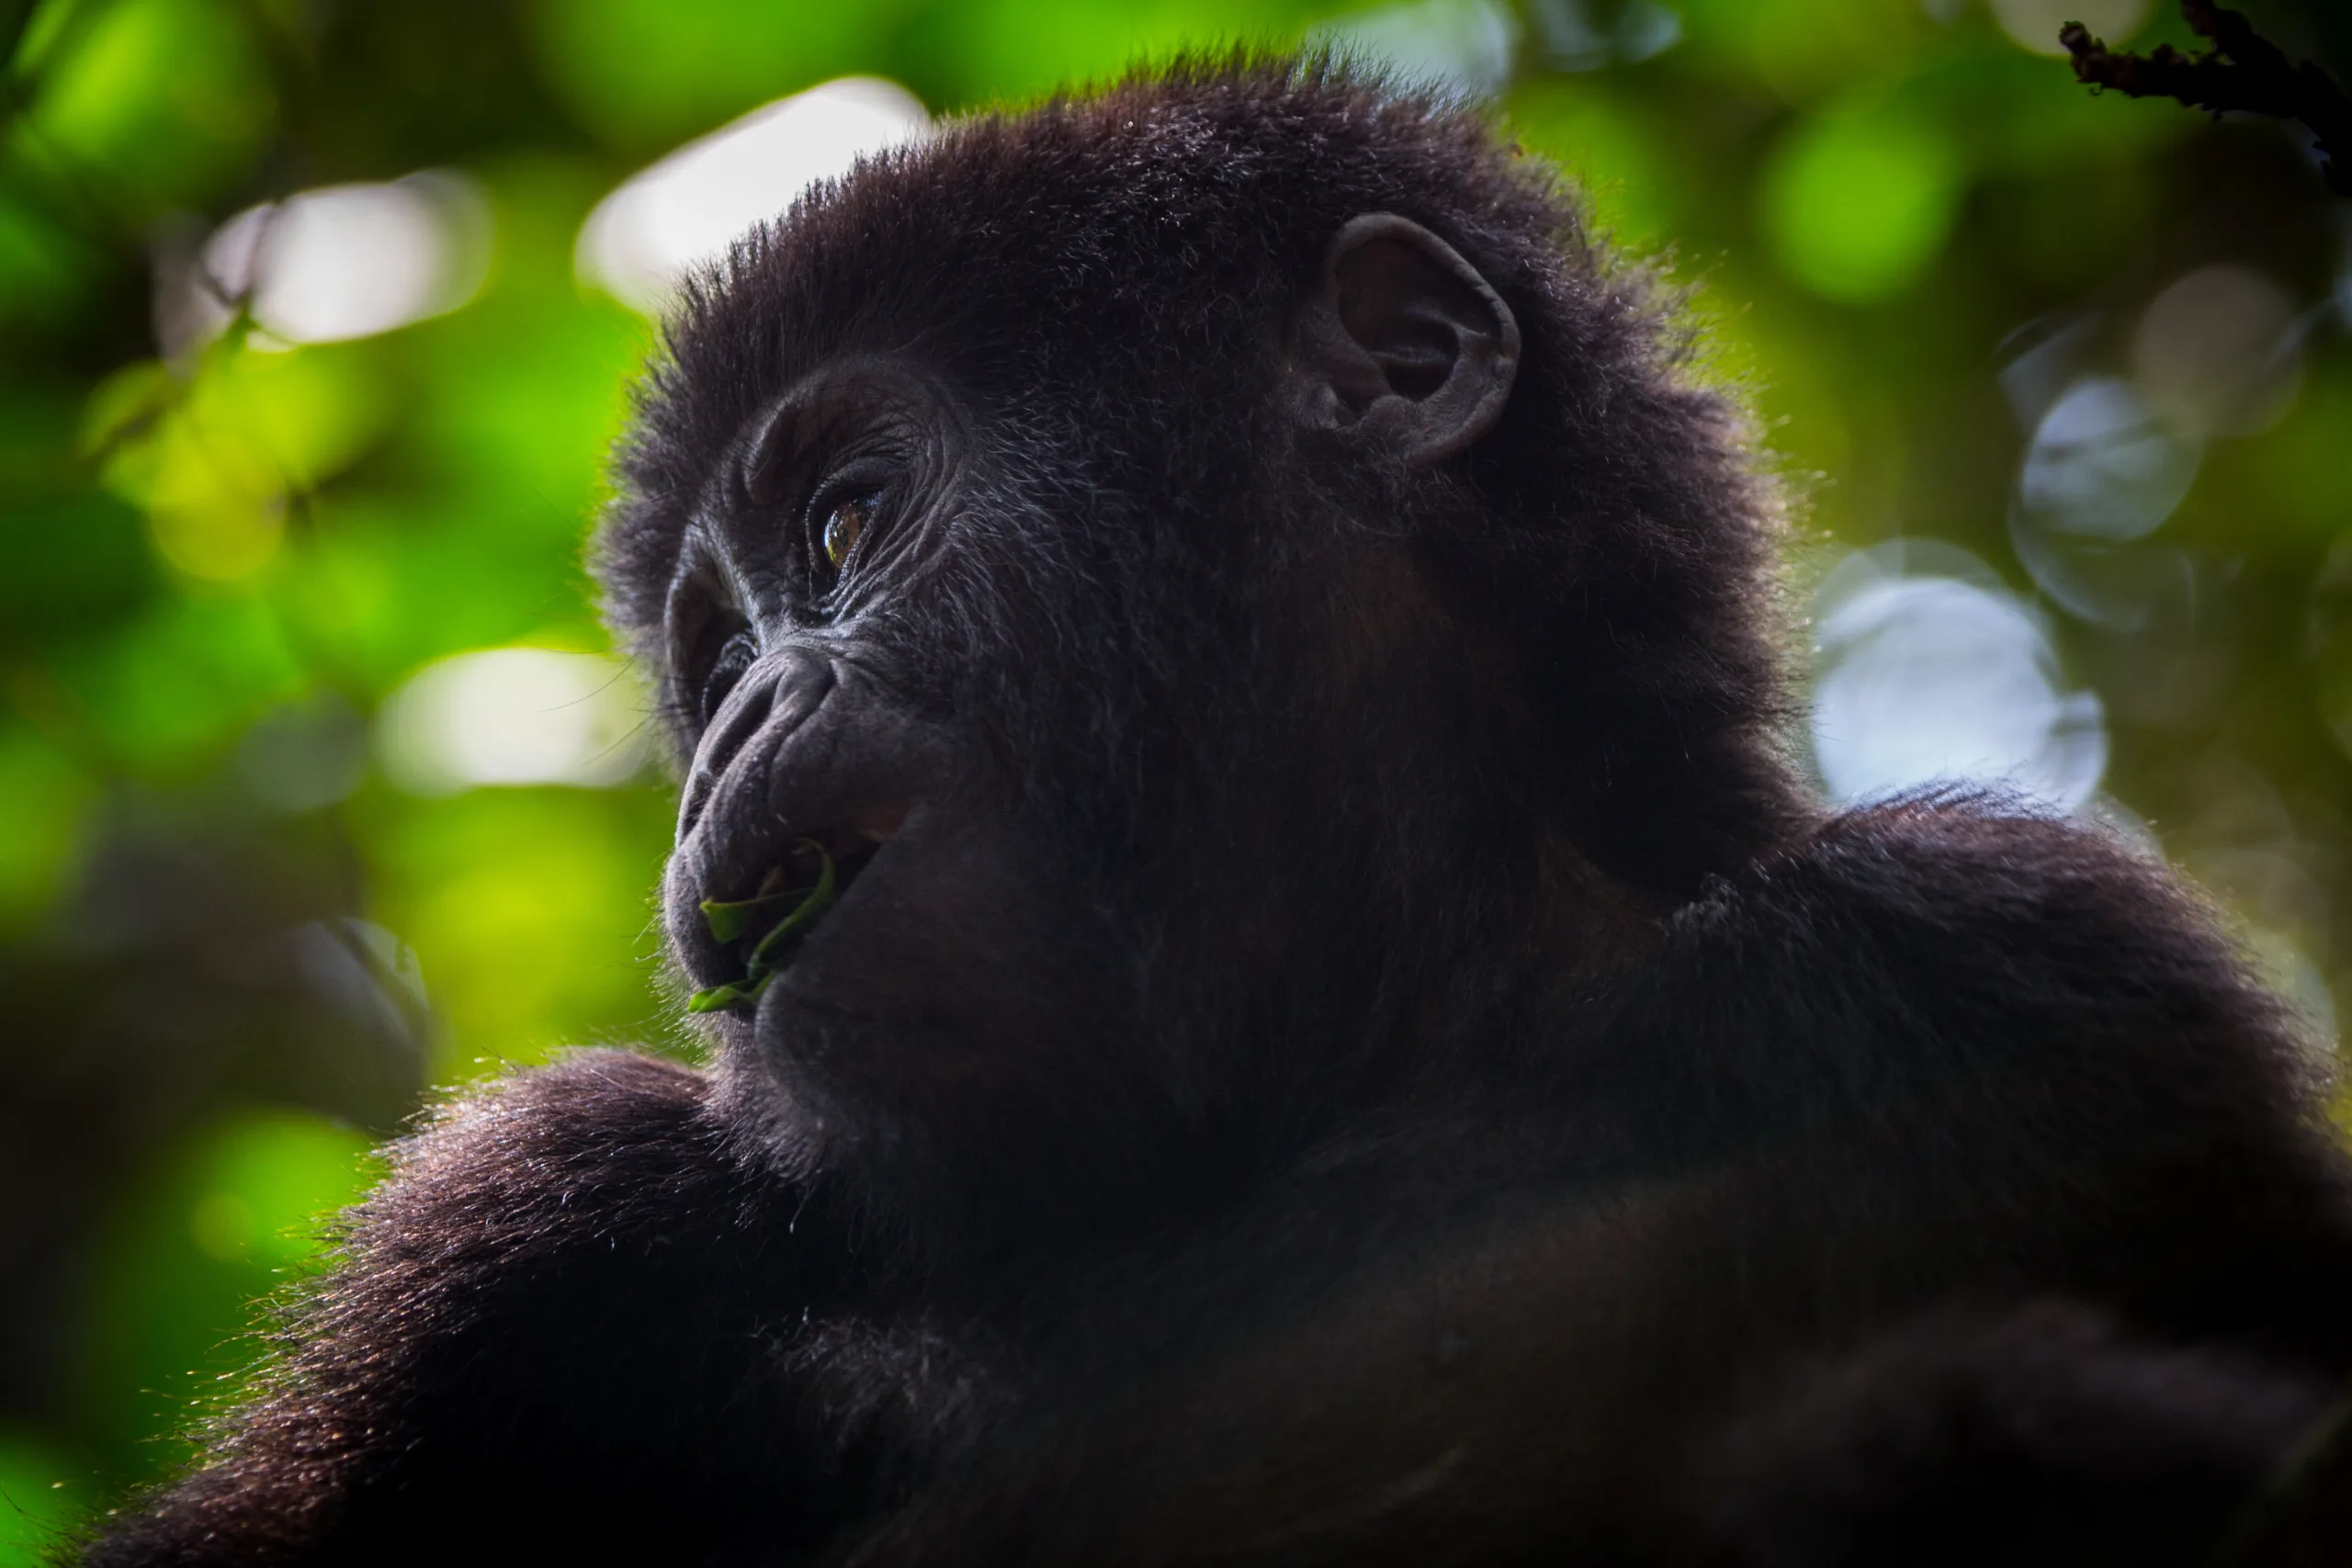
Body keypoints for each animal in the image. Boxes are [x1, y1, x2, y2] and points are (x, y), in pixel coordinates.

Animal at [77, 56, 2352, 1568]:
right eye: (710, 663)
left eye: (842, 524)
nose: (722, 751)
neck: (1343, 1053)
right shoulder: (525, 1238)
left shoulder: (2022, 970)